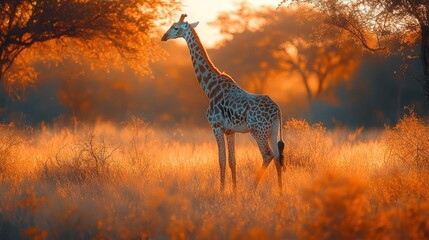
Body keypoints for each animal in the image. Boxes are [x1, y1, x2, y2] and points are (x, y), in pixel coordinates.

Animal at [160, 14, 284, 191]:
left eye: (175, 27)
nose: (163, 37)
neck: (209, 88)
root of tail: (277, 110)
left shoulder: (216, 126)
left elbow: (221, 161)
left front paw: (222, 191)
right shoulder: (230, 131)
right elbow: (232, 161)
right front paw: (234, 191)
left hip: (258, 131)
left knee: (268, 155)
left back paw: (252, 189)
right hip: (272, 131)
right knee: (278, 158)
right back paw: (280, 192)